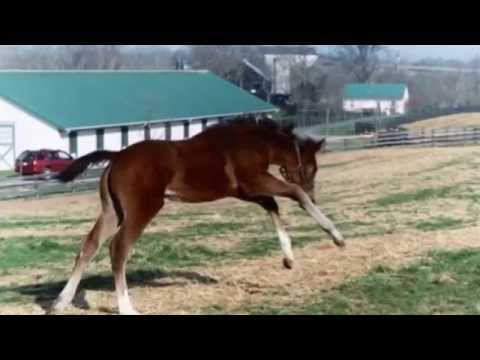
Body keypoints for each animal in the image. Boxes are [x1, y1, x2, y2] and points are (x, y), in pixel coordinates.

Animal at [50, 118, 344, 316]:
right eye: (312, 167)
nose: (315, 192)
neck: (250, 142)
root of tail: (118, 155)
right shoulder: (255, 180)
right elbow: (295, 194)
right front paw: (336, 236)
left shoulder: (243, 190)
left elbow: (272, 205)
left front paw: (288, 259)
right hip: (142, 208)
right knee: (118, 248)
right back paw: (126, 307)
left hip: (113, 211)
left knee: (89, 245)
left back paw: (61, 302)